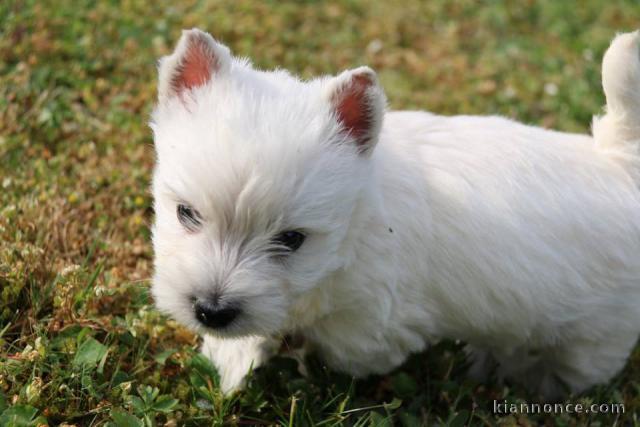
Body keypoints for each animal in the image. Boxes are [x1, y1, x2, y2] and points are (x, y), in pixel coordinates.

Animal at [151, 28, 640, 400]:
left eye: (292, 239)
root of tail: (617, 164)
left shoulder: (372, 325)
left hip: (595, 334)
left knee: (574, 367)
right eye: (186, 213)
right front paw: (231, 359)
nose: (212, 311)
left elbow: (329, 345)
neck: (357, 224)